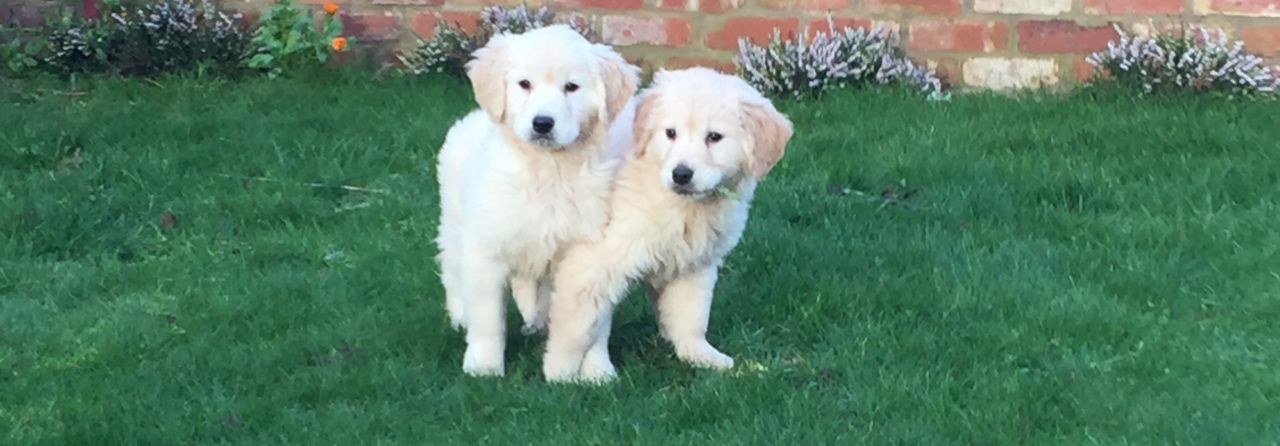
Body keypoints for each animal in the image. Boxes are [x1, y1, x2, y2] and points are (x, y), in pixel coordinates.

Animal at [435, 25, 640, 376]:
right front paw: (483, 367)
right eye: (524, 84)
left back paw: (537, 322)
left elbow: (595, 322)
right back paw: (460, 317)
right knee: (452, 270)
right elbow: (488, 319)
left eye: (571, 87)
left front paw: (598, 371)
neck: (548, 169)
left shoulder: (591, 252)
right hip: (455, 223)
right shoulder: (487, 249)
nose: (542, 123)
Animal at [537, 67, 788, 381]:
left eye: (714, 137)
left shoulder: (694, 265)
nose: (681, 174)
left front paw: (700, 355)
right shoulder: (592, 263)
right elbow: (575, 327)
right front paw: (560, 374)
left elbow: (692, 315)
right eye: (670, 133)